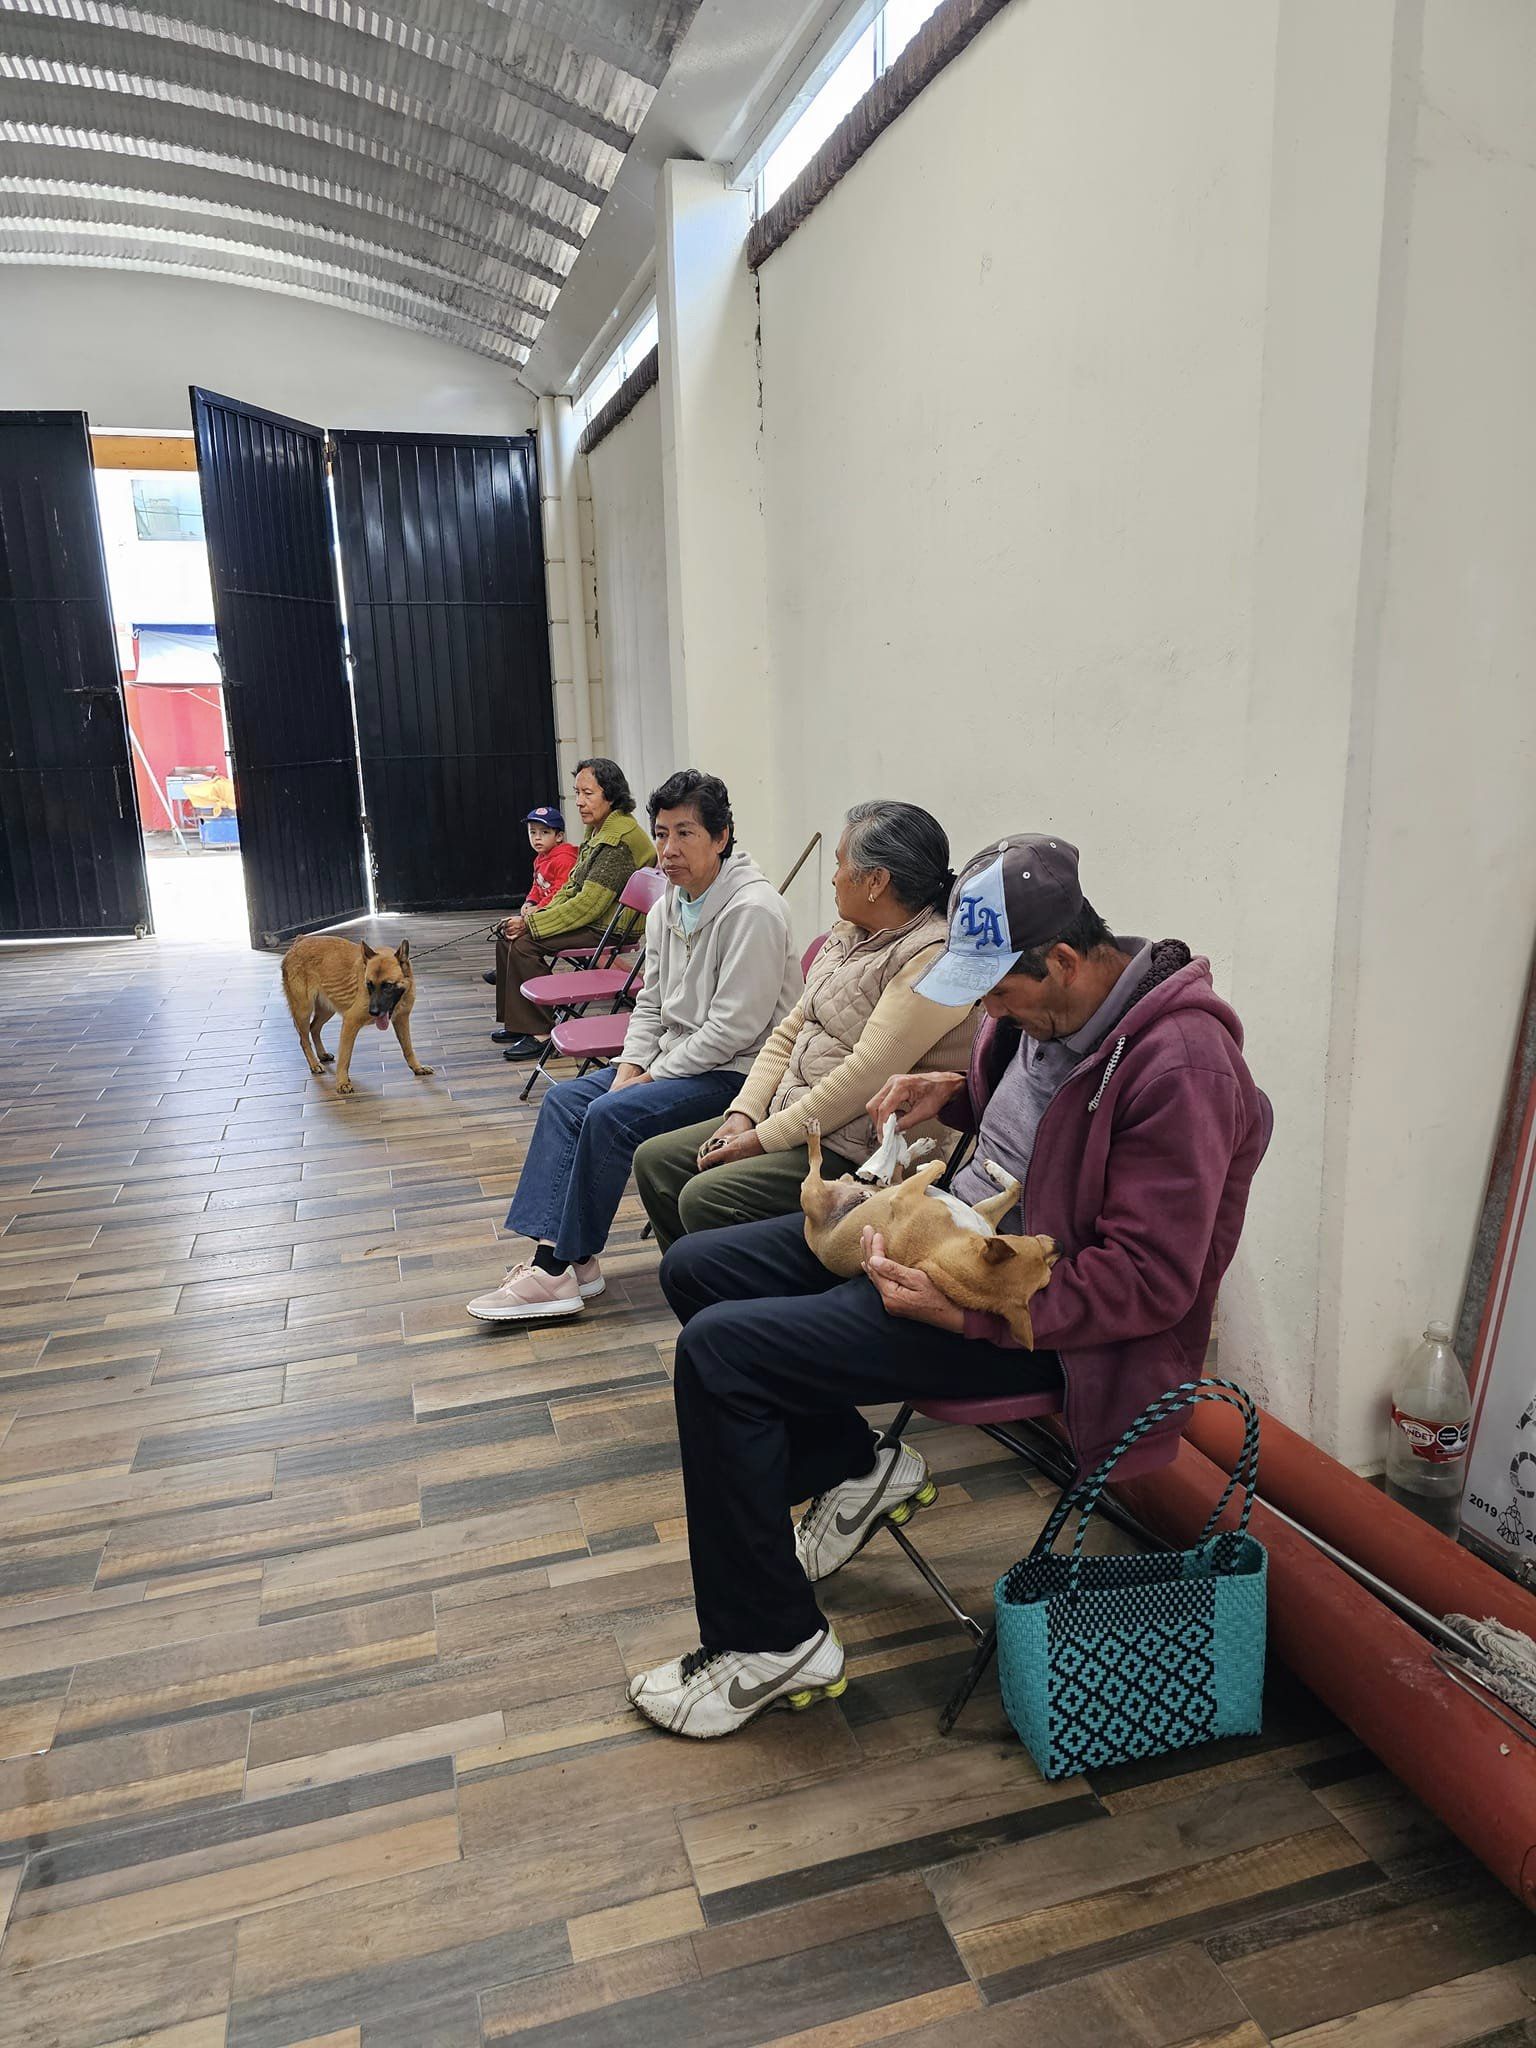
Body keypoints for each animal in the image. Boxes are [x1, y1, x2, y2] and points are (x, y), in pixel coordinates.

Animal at [276, 937, 430, 1097]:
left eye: (388, 985)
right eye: (369, 985)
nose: (373, 1012)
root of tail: (298, 942)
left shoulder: (402, 1020)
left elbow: (408, 1047)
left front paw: (417, 1067)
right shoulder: (350, 1023)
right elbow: (345, 1057)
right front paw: (342, 1083)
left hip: (326, 1010)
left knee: (314, 1028)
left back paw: (322, 1055)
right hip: (303, 1011)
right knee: (304, 1040)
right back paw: (314, 1064)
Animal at [806, 1122, 1056, 1343]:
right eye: (1036, 1244)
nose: (1060, 1246)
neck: (941, 1249)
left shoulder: (906, 1194)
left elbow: (939, 1164)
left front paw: (924, 1167)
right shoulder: (982, 1214)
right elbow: (1016, 1188)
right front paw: (993, 1170)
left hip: (811, 1194)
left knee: (817, 1162)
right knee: (892, 1174)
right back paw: (909, 1153)